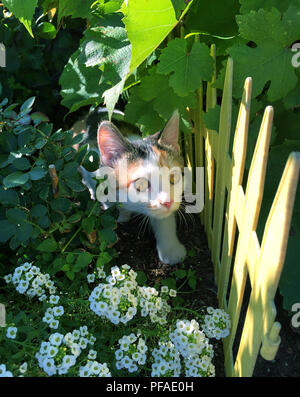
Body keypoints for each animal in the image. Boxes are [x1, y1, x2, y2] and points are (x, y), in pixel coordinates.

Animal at [75, 108, 186, 264]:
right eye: (141, 184)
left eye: (173, 177)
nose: (167, 202)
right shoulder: (92, 168)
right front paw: (120, 214)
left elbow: (164, 219)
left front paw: (171, 251)